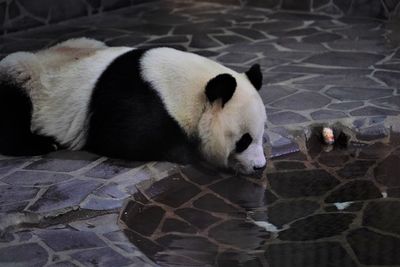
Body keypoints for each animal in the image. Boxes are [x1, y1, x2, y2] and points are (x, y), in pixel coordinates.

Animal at [0, 38, 268, 176]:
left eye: (262, 135)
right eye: (244, 140)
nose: (260, 167)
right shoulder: (136, 98)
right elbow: (126, 138)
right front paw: (197, 158)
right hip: (26, 78)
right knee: (13, 111)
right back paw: (43, 143)